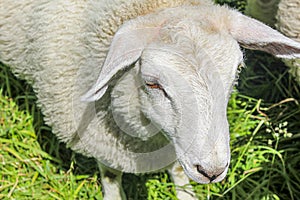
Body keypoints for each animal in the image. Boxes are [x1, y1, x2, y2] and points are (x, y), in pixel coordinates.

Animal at [0, 0, 300, 200]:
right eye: (153, 83)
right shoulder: (102, 138)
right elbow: (111, 174)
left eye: (237, 71)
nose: (212, 170)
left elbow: (177, 168)